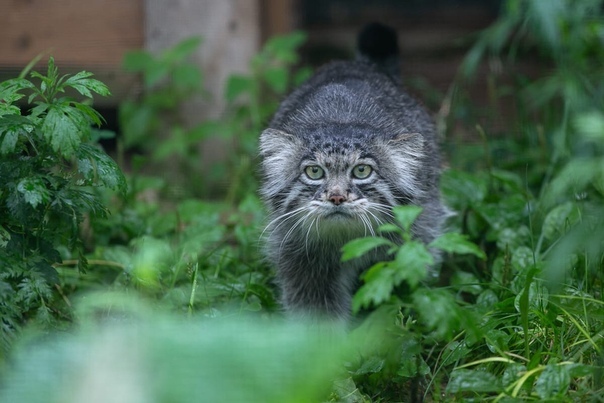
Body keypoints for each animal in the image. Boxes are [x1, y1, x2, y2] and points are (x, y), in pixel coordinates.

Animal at [260, 23, 448, 322]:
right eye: (314, 172)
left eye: (362, 170)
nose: (337, 197)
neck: (348, 240)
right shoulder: (302, 261)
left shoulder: (410, 249)